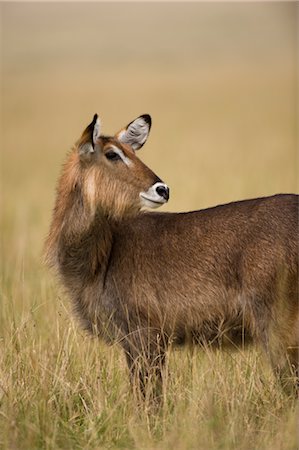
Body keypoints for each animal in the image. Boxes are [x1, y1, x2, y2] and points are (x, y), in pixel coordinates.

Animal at [45, 114, 298, 400]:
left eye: (133, 152)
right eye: (112, 154)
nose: (162, 189)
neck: (103, 256)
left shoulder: (145, 334)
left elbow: (149, 398)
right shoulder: (136, 341)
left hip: (278, 325)